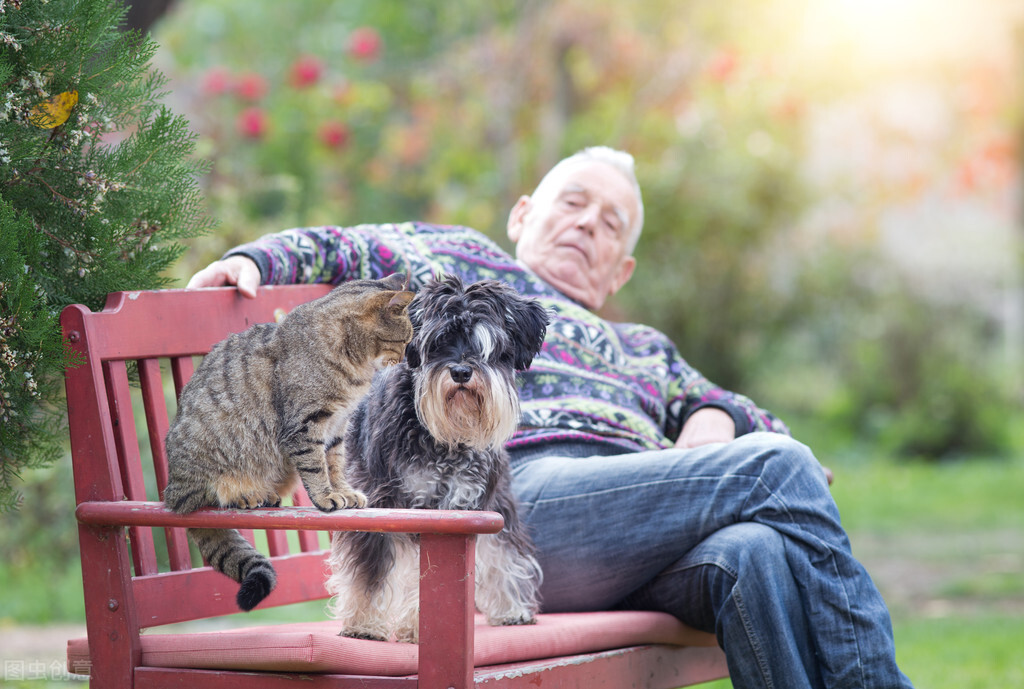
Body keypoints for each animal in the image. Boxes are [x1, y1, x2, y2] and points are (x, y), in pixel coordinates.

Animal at [161, 272, 413, 610]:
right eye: (404, 340)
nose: (407, 360)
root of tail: (171, 491)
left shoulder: (337, 427)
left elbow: (335, 466)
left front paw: (344, 492)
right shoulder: (306, 426)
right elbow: (317, 468)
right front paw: (327, 497)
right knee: (207, 496)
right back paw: (246, 495)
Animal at [327, 272, 552, 638]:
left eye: (487, 346)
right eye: (437, 343)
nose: (461, 371)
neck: (446, 439)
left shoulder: (463, 502)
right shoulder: (385, 501)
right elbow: (372, 571)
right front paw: (365, 624)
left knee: (503, 550)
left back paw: (511, 607)